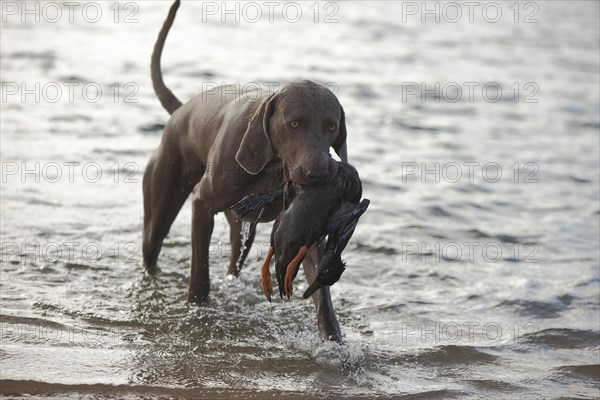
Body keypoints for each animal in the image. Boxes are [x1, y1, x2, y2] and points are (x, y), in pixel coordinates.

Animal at [144, 0, 350, 340]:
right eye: (294, 123)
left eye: (332, 127)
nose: (318, 173)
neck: (273, 169)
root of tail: (181, 110)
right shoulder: (202, 204)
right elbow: (200, 273)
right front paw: (199, 310)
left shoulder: (306, 226)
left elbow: (323, 297)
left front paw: (332, 340)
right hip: (161, 201)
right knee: (152, 244)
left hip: (239, 224)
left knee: (235, 256)